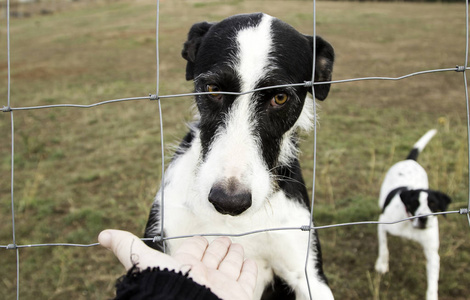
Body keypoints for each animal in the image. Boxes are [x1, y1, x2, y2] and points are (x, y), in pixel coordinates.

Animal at [374, 129, 452, 300]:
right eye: (414, 203)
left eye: (433, 205)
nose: (423, 218)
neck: (410, 226)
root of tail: (410, 161)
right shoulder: (382, 224)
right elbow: (384, 247)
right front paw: (382, 264)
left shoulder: (432, 253)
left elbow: (433, 281)